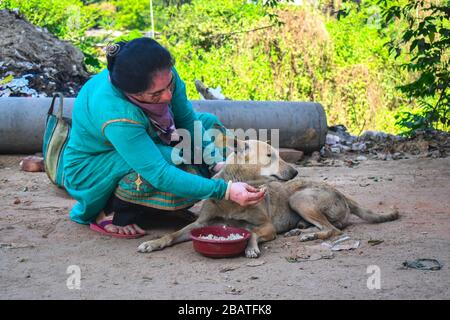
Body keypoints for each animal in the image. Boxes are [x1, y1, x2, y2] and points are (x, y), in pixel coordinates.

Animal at [137, 139, 398, 258]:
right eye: (270, 155)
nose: (295, 172)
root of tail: (342, 193)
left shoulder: (267, 226)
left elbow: (252, 232)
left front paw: (251, 247)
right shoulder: (201, 224)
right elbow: (172, 234)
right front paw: (154, 243)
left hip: (300, 198)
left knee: (333, 229)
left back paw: (309, 234)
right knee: (329, 226)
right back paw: (300, 230)